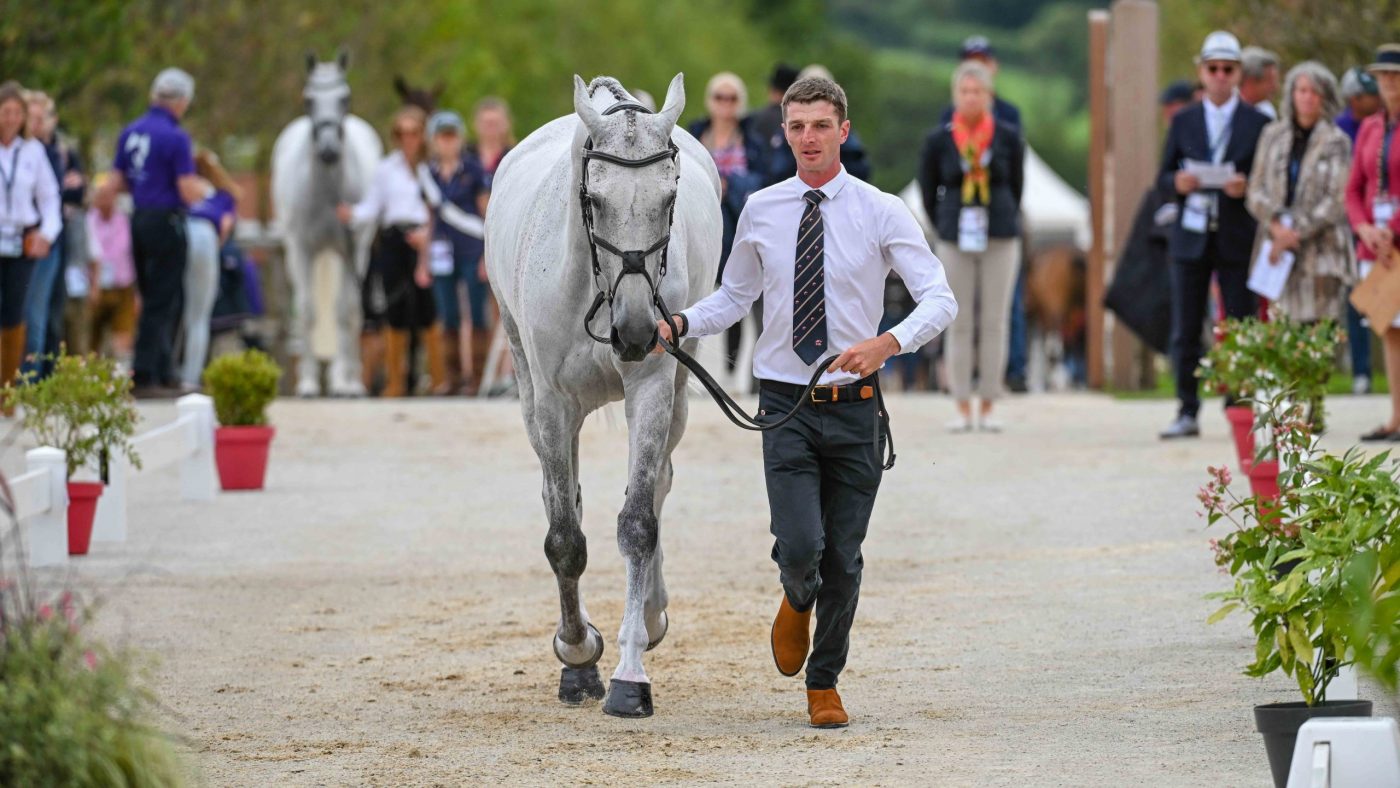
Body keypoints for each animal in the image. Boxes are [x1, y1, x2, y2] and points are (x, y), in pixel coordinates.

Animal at [270, 51, 383, 397]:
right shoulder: (303, 250)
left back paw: (344, 380)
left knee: (350, 311)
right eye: (308, 99)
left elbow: (345, 312)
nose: (329, 151)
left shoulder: (351, 250)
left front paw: (348, 385)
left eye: (345, 98)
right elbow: (307, 313)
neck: (328, 191)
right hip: (296, 255)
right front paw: (307, 383)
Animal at [484, 73, 721, 717]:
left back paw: (651, 616)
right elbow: (564, 535)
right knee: (559, 496)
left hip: (679, 395)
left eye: (668, 198)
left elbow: (638, 522)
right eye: (594, 198)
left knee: (658, 485)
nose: (636, 332)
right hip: (530, 394)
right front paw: (577, 655)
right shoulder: (552, 405)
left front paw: (628, 676)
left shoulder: (654, 387)